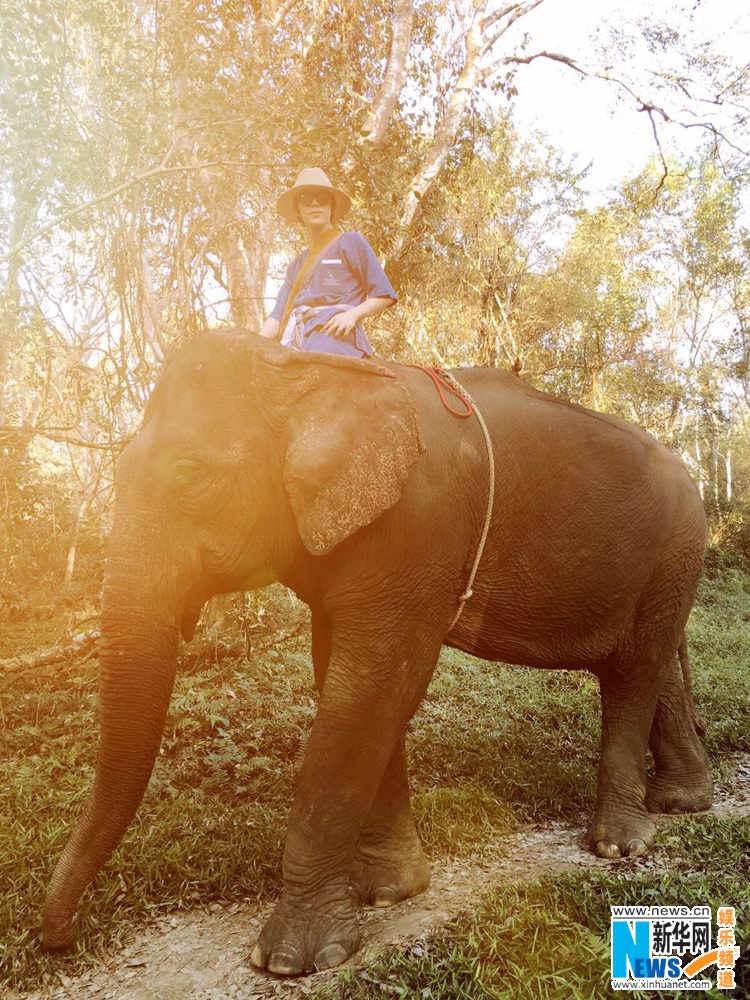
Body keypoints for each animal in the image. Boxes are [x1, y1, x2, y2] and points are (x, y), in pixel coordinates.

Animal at [42, 332, 716, 972]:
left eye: (190, 475)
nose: (61, 939)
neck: (306, 369)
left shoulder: (416, 531)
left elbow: (373, 686)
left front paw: (291, 959)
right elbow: (350, 682)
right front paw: (391, 891)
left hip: (678, 544)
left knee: (635, 668)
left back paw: (620, 844)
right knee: (651, 664)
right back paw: (683, 803)